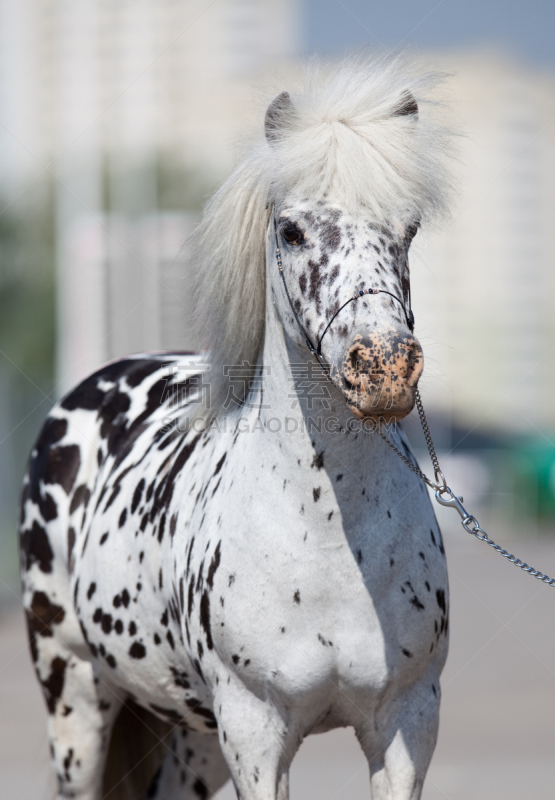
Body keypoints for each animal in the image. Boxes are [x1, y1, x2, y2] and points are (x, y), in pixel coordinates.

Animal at [21, 53, 454, 796]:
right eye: (291, 230)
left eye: (410, 229)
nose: (385, 368)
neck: (330, 546)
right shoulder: (256, 731)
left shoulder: (407, 726)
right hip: (75, 698)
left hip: (195, 736)